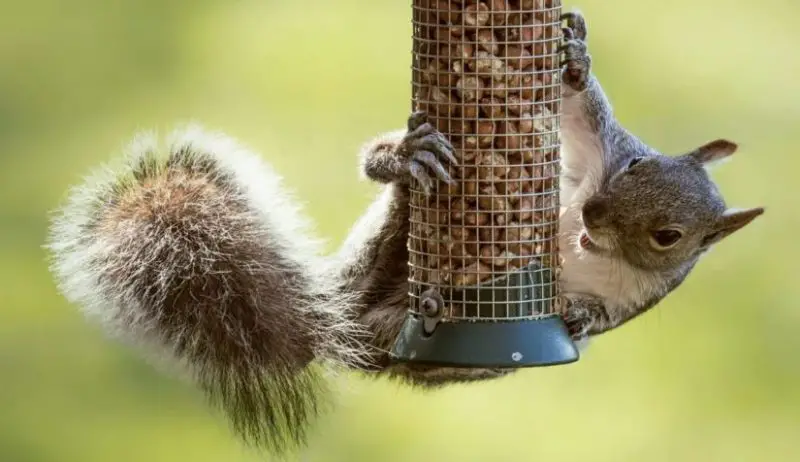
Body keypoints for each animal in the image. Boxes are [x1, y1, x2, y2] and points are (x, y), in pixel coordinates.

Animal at [45, 9, 763, 456]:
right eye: (638, 163)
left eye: (669, 236)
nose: (591, 217)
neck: (590, 246)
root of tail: (339, 325)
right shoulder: (594, 157)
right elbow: (580, 110)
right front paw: (574, 56)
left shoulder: (641, 296)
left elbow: (600, 318)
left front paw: (580, 316)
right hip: (393, 243)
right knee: (390, 185)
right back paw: (403, 160)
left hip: (415, 343)